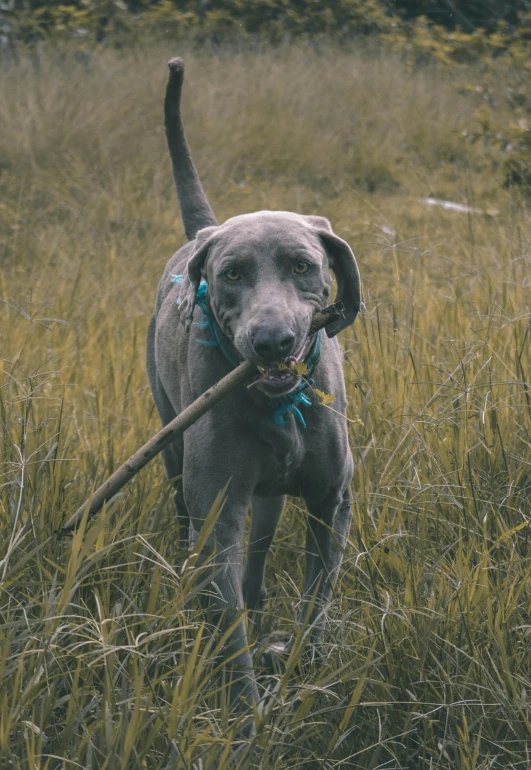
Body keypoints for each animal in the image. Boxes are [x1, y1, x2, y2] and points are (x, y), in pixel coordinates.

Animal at [145, 60, 362, 720]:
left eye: (303, 265)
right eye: (232, 274)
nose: (271, 340)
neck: (278, 405)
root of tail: (203, 229)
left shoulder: (331, 503)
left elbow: (317, 603)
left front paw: (303, 673)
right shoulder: (219, 513)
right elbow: (227, 616)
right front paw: (247, 721)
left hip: (267, 500)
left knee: (261, 551)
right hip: (175, 452)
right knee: (189, 523)